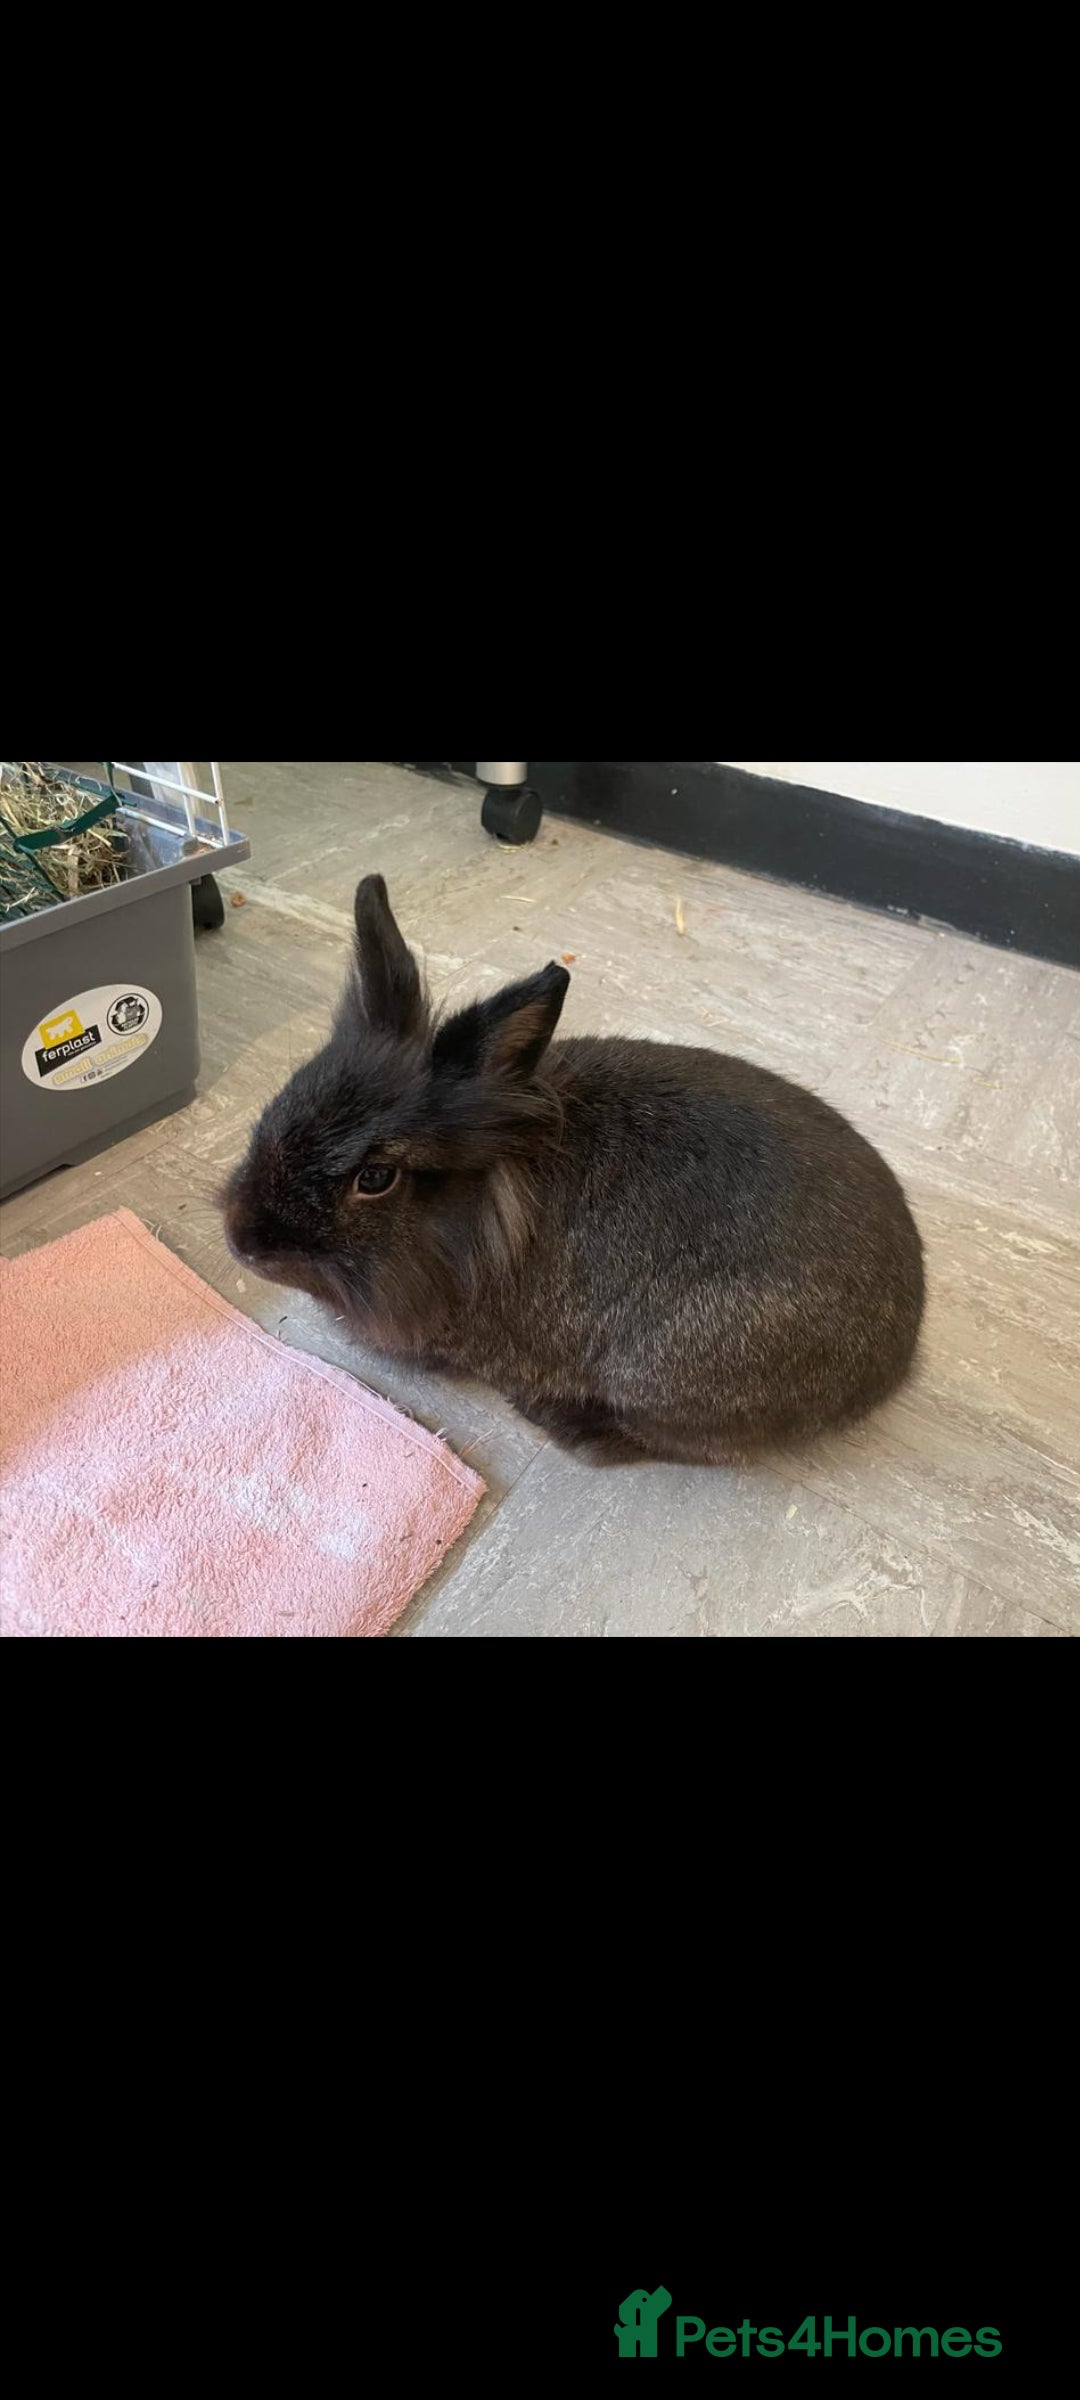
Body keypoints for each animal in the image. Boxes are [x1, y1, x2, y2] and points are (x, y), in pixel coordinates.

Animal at [222, 873, 925, 1463]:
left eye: (374, 1179)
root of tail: (896, 1357)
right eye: (285, 1097)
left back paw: (565, 1423)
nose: (242, 1240)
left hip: (664, 1372)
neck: (486, 1212)